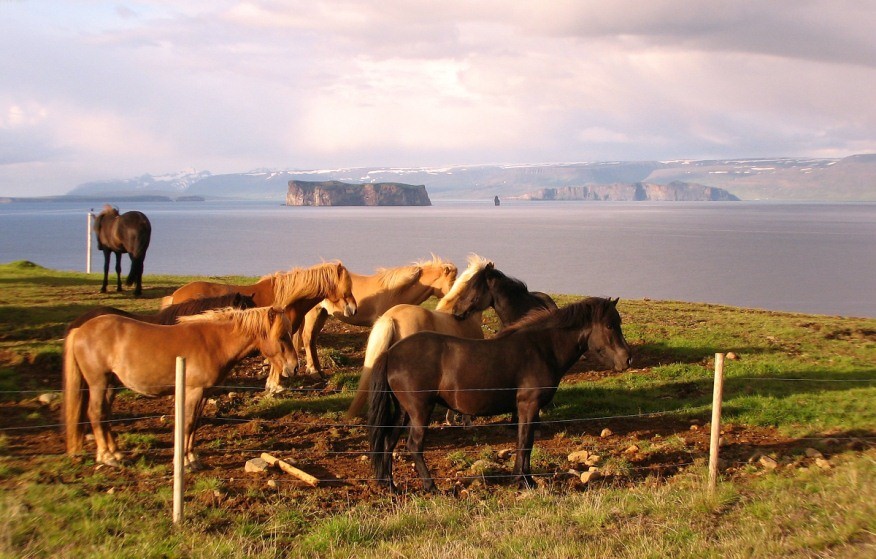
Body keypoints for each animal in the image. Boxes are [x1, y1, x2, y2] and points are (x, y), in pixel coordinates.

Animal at [63, 306, 300, 468]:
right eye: (281, 336)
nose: (294, 367)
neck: (214, 343)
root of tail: (80, 329)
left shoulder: (203, 394)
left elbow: (194, 424)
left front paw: (192, 458)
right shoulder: (193, 392)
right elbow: (186, 424)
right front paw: (185, 461)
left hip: (111, 384)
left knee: (105, 415)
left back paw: (116, 453)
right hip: (98, 383)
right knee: (96, 413)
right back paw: (107, 456)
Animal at [296, 256, 458, 378]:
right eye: (452, 281)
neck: (396, 292)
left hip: (322, 314)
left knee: (312, 340)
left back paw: (318, 369)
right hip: (313, 314)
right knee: (307, 337)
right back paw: (313, 371)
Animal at [368, 296, 628, 492]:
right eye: (609, 325)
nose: (627, 359)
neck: (541, 348)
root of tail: (391, 353)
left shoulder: (526, 409)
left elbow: (523, 442)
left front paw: (520, 478)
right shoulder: (528, 406)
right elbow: (525, 442)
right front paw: (525, 481)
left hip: (404, 411)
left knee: (388, 442)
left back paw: (390, 485)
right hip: (419, 410)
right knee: (413, 445)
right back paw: (430, 486)